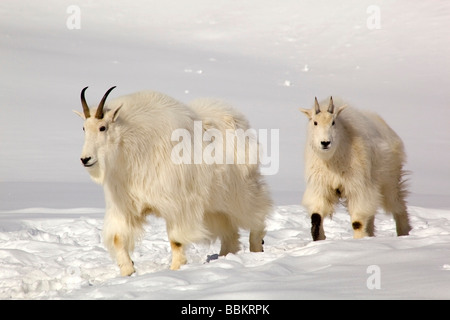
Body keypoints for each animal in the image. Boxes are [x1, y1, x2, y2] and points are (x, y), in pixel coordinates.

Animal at [74, 87, 270, 276]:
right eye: (83, 128)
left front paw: (176, 269)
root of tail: (237, 122)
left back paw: (256, 246)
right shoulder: (126, 206)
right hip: (213, 205)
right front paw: (128, 270)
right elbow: (117, 238)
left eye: (103, 127)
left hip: (238, 192)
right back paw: (224, 256)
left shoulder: (178, 206)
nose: (85, 159)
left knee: (257, 212)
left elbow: (176, 240)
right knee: (230, 231)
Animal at [300, 97, 410, 240]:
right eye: (315, 122)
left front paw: (358, 240)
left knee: (398, 205)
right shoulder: (321, 187)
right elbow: (316, 216)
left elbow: (357, 222)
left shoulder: (357, 187)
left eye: (333, 122)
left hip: (389, 181)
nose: (325, 143)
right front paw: (319, 238)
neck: (332, 161)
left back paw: (404, 233)